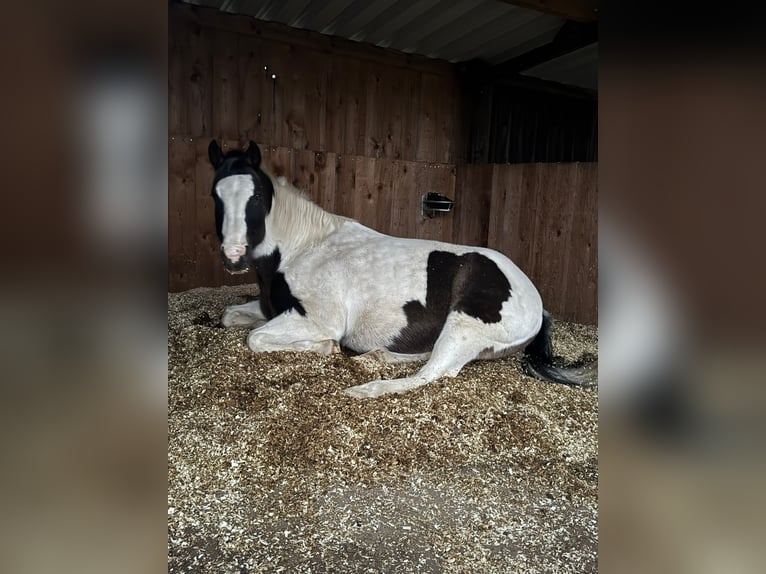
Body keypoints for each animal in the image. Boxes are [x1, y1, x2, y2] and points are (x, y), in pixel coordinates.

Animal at [207, 140, 596, 398]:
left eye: (257, 196)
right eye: (215, 195)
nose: (233, 256)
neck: (304, 248)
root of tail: (535, 299)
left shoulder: (316, 319)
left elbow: (256, 338)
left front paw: (326, 348)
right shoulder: (273, 308)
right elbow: (231, 317)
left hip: (465, 325)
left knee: (433, 373)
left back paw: (364, 388)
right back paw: (375, 357)